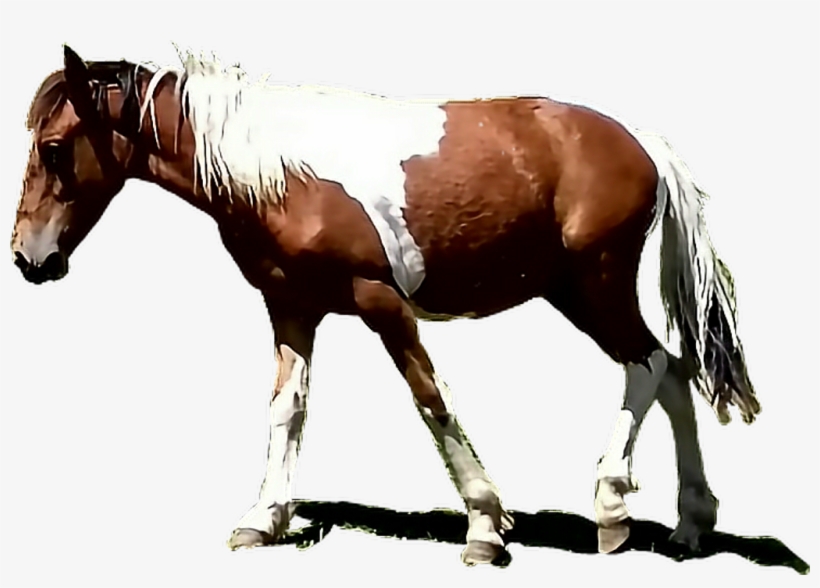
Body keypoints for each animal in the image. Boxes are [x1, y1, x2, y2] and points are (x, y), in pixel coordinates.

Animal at [10, 44, 760, 566]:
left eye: (54, 148)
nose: (26, 258)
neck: (282, 174)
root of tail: (641, 142)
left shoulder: (382, 305)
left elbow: (430, 400)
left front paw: (485, 527)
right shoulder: (291, 309)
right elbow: (287, 409)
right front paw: (263, 518)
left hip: (596, 283)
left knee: (647, 367)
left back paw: (611, 508)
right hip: (574, 291)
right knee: (674, 370)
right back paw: (691, 524)